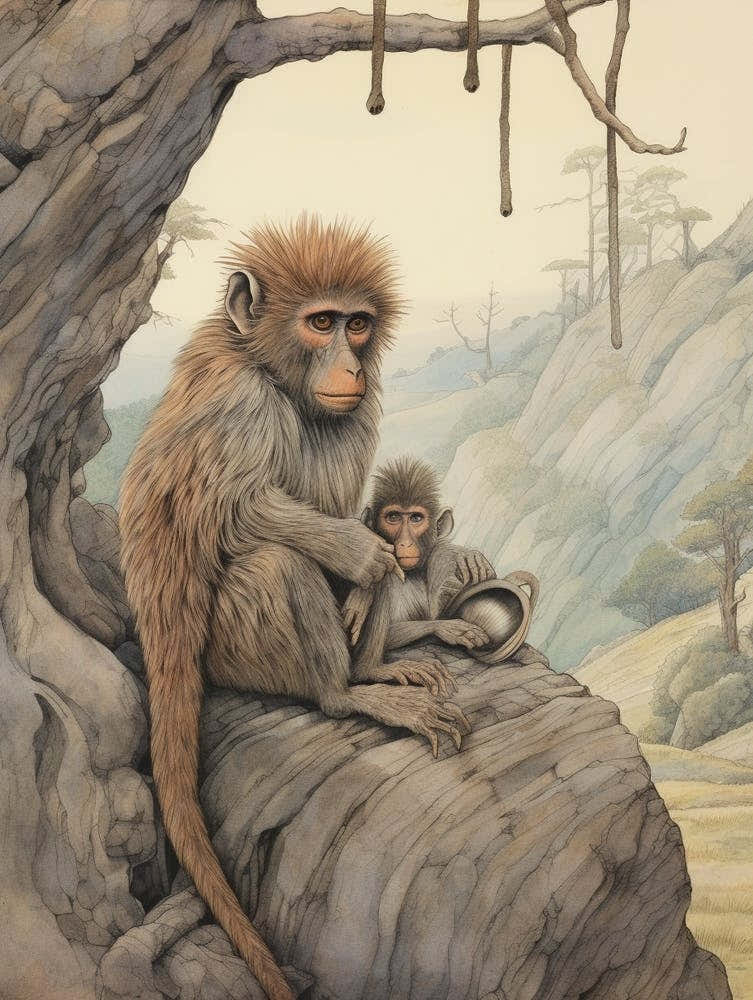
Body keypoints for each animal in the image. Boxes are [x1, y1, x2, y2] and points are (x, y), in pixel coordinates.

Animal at [118, 217, 470, 1000]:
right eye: (320, 323)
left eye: (357, 324)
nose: (349, 364)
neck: (275, 372)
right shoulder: (239, 402)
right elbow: (236, 512)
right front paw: (360, 554)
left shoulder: (352, 412)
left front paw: (378, 579)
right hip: (229, 648)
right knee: (278, 562)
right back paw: (346, 693)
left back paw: (372, 668)